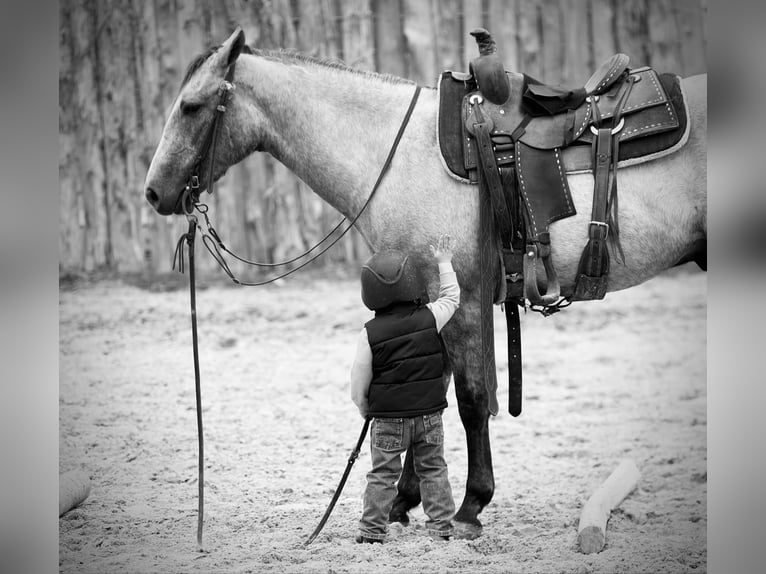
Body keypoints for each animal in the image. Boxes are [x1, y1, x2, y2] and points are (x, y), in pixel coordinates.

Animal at [142, 27, 708, 540]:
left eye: (191, 106)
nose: (152, 192)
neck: (393, 155)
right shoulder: (424, 301)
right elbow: (424, 394)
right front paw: (403, 502)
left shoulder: (464, 301)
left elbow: (470, 400)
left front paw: (469, 507)